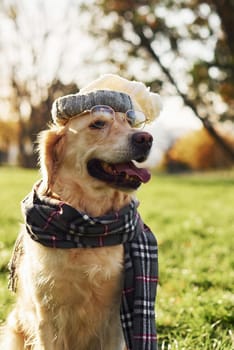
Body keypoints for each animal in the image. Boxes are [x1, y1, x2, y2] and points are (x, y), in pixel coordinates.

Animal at [0, 73, 161, 348]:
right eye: (97, 124)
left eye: (130, 123)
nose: (145, 139)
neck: (89, 225)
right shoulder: (47, 317)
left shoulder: (113, 320)